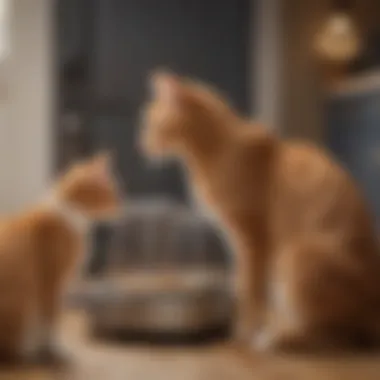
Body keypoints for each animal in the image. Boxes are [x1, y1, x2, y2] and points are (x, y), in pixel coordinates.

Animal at [0, 153, 121, 364]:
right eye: (113, 190)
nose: (121, 203)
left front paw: (46, 348)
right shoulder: (52, 282)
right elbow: (51, 318)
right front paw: (55, 349)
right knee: (12, 350)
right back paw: (27, 352)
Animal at [140, 72, 380, 354]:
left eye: (152, 123)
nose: (142, 144)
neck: (216, 149)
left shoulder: (252, 238)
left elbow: (249, 291)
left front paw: (240, 335)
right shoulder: (240, 245)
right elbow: (244, 288)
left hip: (295, 256)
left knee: (336, 336)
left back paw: (278, 338)